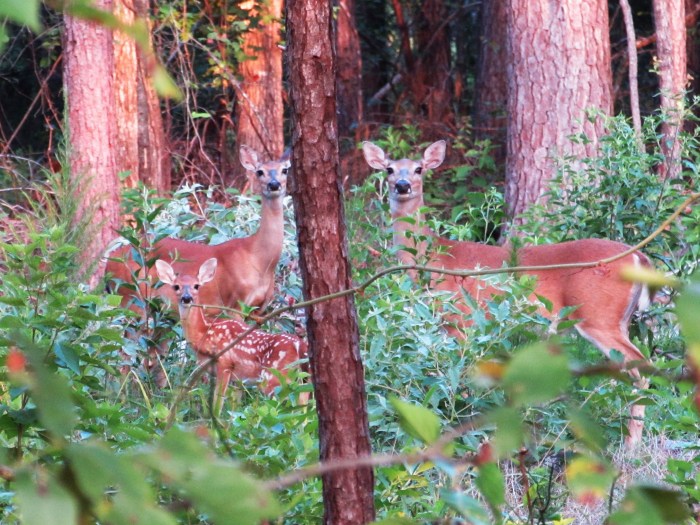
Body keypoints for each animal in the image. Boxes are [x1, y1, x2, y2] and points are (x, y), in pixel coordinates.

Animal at [155, 257, 308, 401]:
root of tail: (299, 344)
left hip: (275, 375)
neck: (205, 332)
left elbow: (218, 400)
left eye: (196, 286)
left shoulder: (225, 362)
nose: (187, 298)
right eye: (176, 286)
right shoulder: (237, 378)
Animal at [362, 140, 653, 447]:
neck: (434, 258)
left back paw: (631, 445)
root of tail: (639, 258)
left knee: (642, 368)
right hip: (618, 319)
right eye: (389, 169)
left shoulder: (461, 319)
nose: (402, 185)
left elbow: (460, 376)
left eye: (419, 168)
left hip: (598, 316)